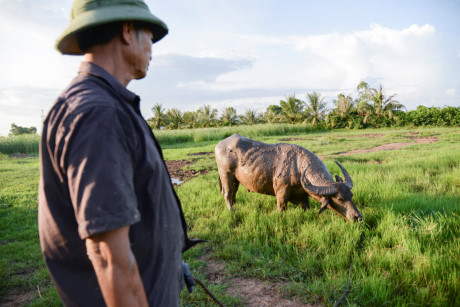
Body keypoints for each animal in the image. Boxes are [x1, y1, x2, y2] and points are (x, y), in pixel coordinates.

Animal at [215, 135, 362, 221]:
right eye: (340, 199)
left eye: (351, 196)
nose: (358, 217)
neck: (298, 167)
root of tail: (219, 145)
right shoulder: (281, 194)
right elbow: (281, 209)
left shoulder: (304, 197)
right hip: (226, 174)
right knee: (227, 194)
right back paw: (232, 212)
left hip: (236, 180)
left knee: (233, 194)